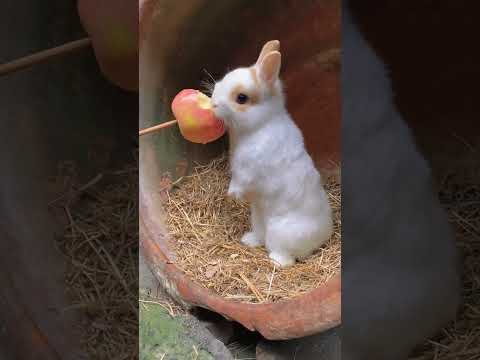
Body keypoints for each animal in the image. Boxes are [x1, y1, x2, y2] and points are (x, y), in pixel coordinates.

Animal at [212, 39, 332, 268]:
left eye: (241, 98)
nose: (213, 103)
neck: (260, 125)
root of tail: (324, 235)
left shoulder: (249, 170)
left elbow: (241, 182)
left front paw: (232, 194)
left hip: (280, 233)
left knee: (287, 257)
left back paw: (275, 261)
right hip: (258, 218)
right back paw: (248, 240)